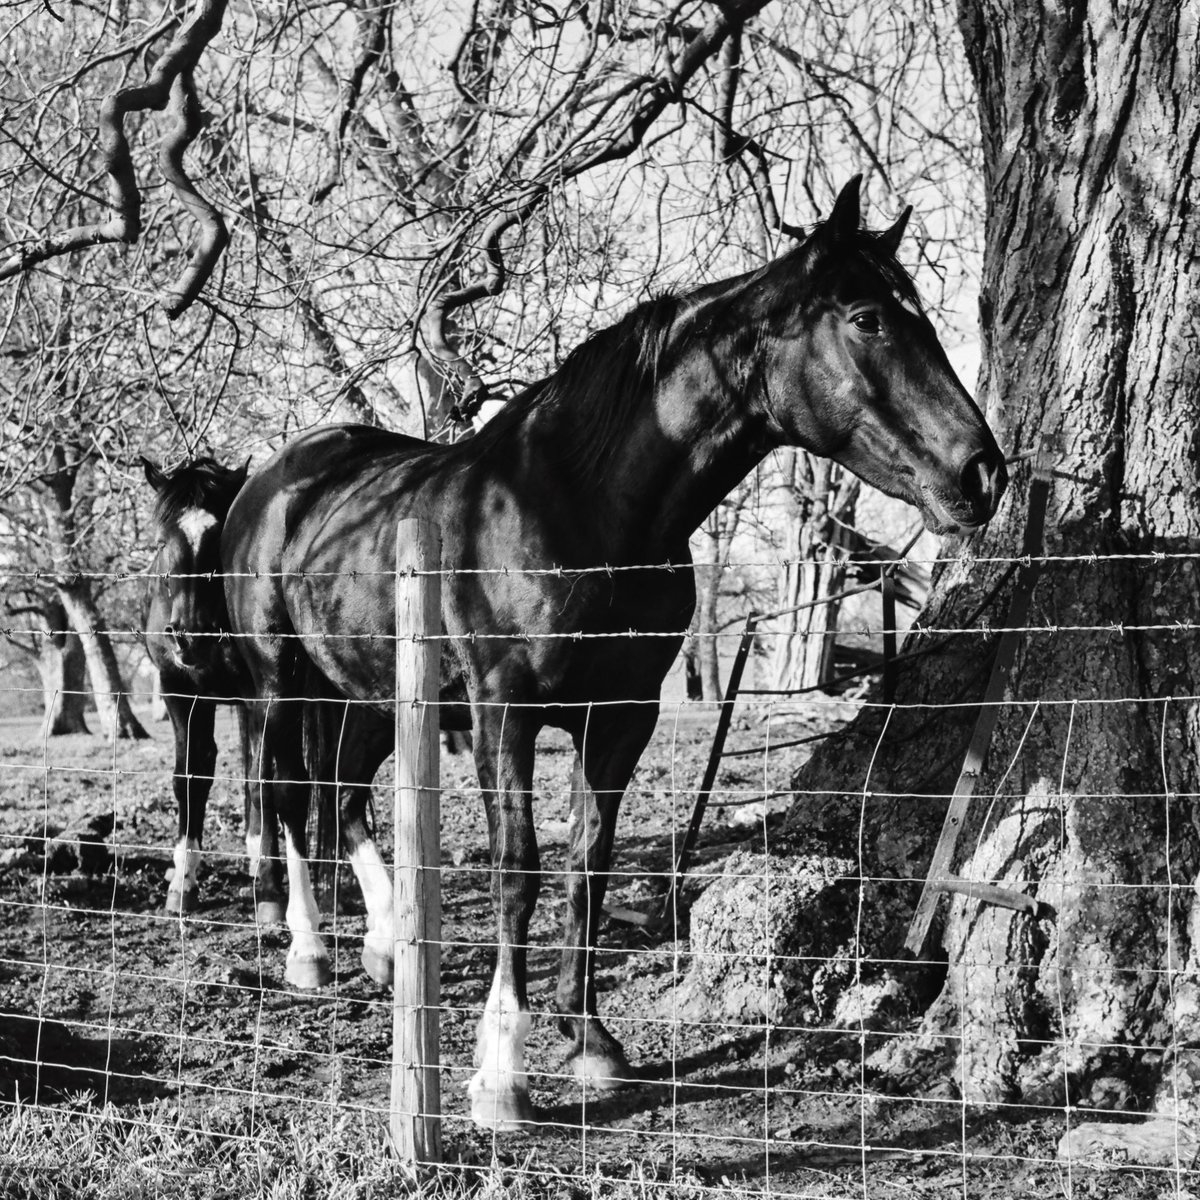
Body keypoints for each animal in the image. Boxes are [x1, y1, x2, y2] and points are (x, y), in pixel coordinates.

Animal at [143, 456, 285, 922]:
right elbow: (191, 774)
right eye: (161, 541)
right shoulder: (178, 692)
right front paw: (183, 883)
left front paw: (272, 890)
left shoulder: (260, 695)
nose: (190, 636)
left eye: (219, 537)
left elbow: (262, 780)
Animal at [221, 177, 1008, 1130]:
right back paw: (307, 951)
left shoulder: (621, 720)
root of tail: (279, 475)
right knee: (287, 797)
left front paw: (589, 1041)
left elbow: (588, 866)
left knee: (343, 798)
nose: (982, 474)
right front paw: (501, 1075)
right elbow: (520, 870)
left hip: (374, 694)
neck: (577, 508)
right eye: (867, 318)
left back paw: (382, 947)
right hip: (278, 681)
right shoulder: (503, 715)